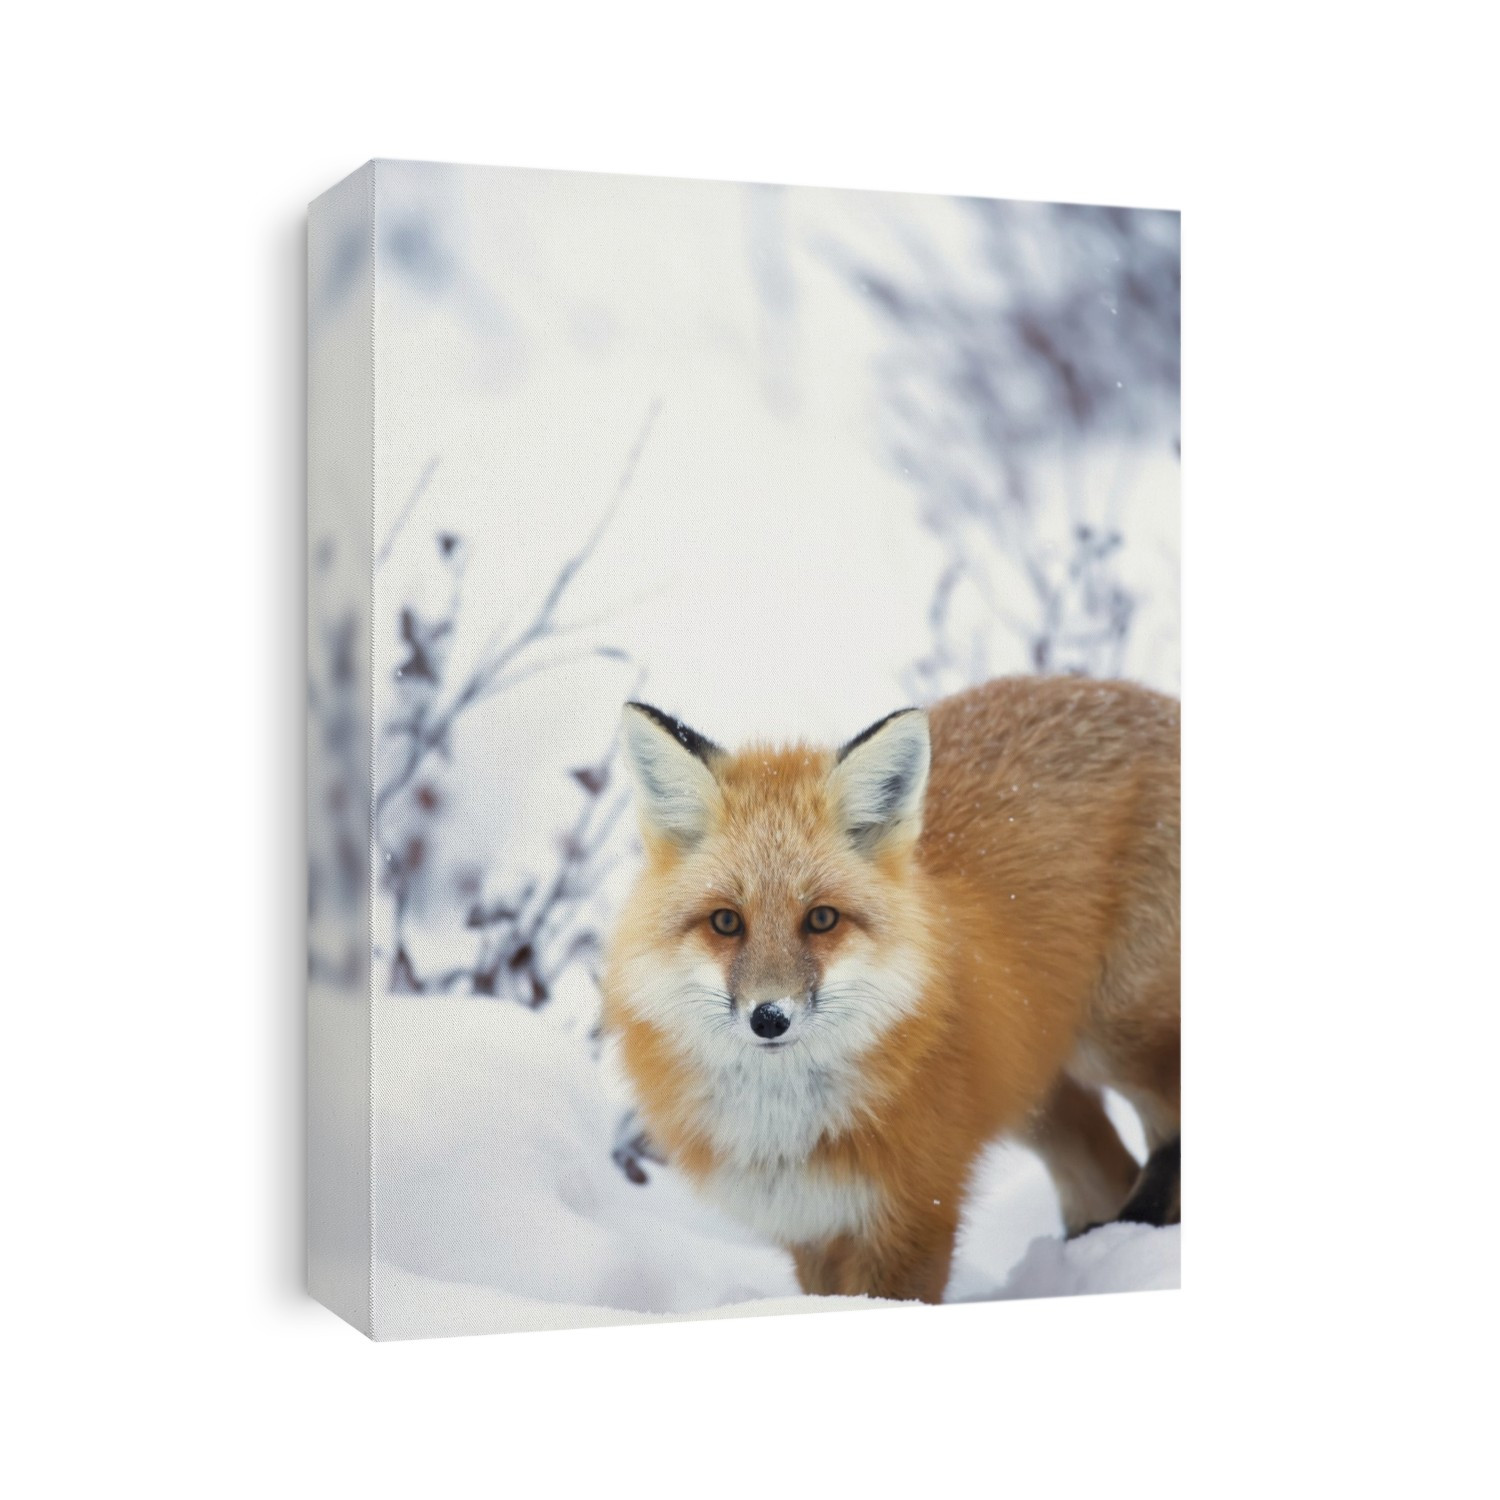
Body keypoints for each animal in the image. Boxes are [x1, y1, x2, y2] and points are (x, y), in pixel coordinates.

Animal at [600, 675, 1179, 1304]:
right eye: (726, 922)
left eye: (822, 919)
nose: (770, 1017)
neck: (788, 1128)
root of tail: (1154, 701)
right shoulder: (811, 1224)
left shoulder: (915, 1213)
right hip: (1035, 1088)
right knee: (1108, 1170)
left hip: (1118, 1041)